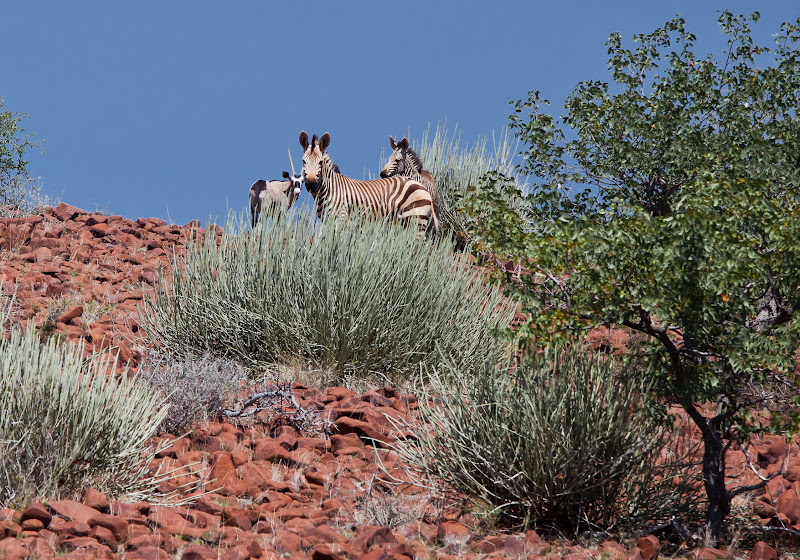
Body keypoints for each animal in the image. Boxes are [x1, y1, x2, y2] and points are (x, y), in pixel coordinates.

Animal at [300, 132, 440, 234]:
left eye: (320, 162)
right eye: (303, 161)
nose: (310, 183)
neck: (330, 189)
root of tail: (422, 186)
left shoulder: (341, 219)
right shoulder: (328, 222)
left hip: (416, 220)